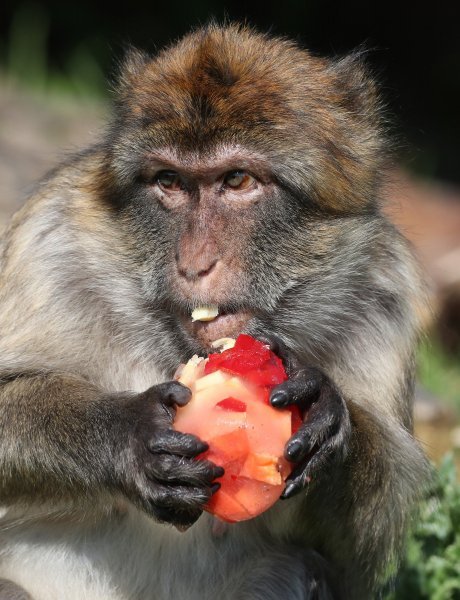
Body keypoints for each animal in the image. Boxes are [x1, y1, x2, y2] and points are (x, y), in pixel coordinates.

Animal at [0, 22, 428, 600]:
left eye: (237, 180)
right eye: (169, 181)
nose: (194, 263)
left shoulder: (386, 295)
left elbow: (360, 548)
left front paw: (327, 413)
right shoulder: (49, 242)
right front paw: (129, 435)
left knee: (305, 572)